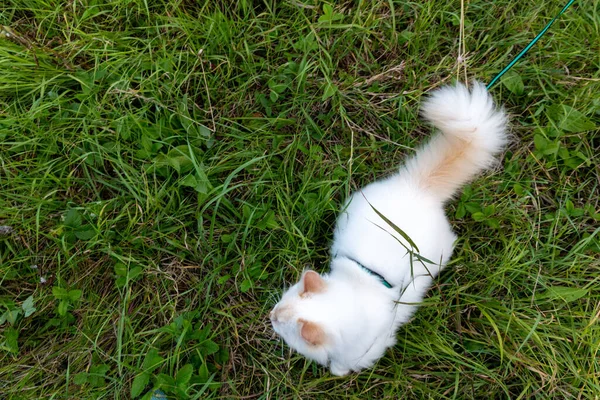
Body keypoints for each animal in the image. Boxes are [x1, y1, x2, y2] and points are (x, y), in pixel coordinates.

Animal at [270, 81, 508, 376]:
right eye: (280, 305)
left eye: (281, 325)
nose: (270, 315)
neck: (358, 293)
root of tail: (417, 185)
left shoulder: (373, 345)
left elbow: (342, 365)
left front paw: (337, 371)